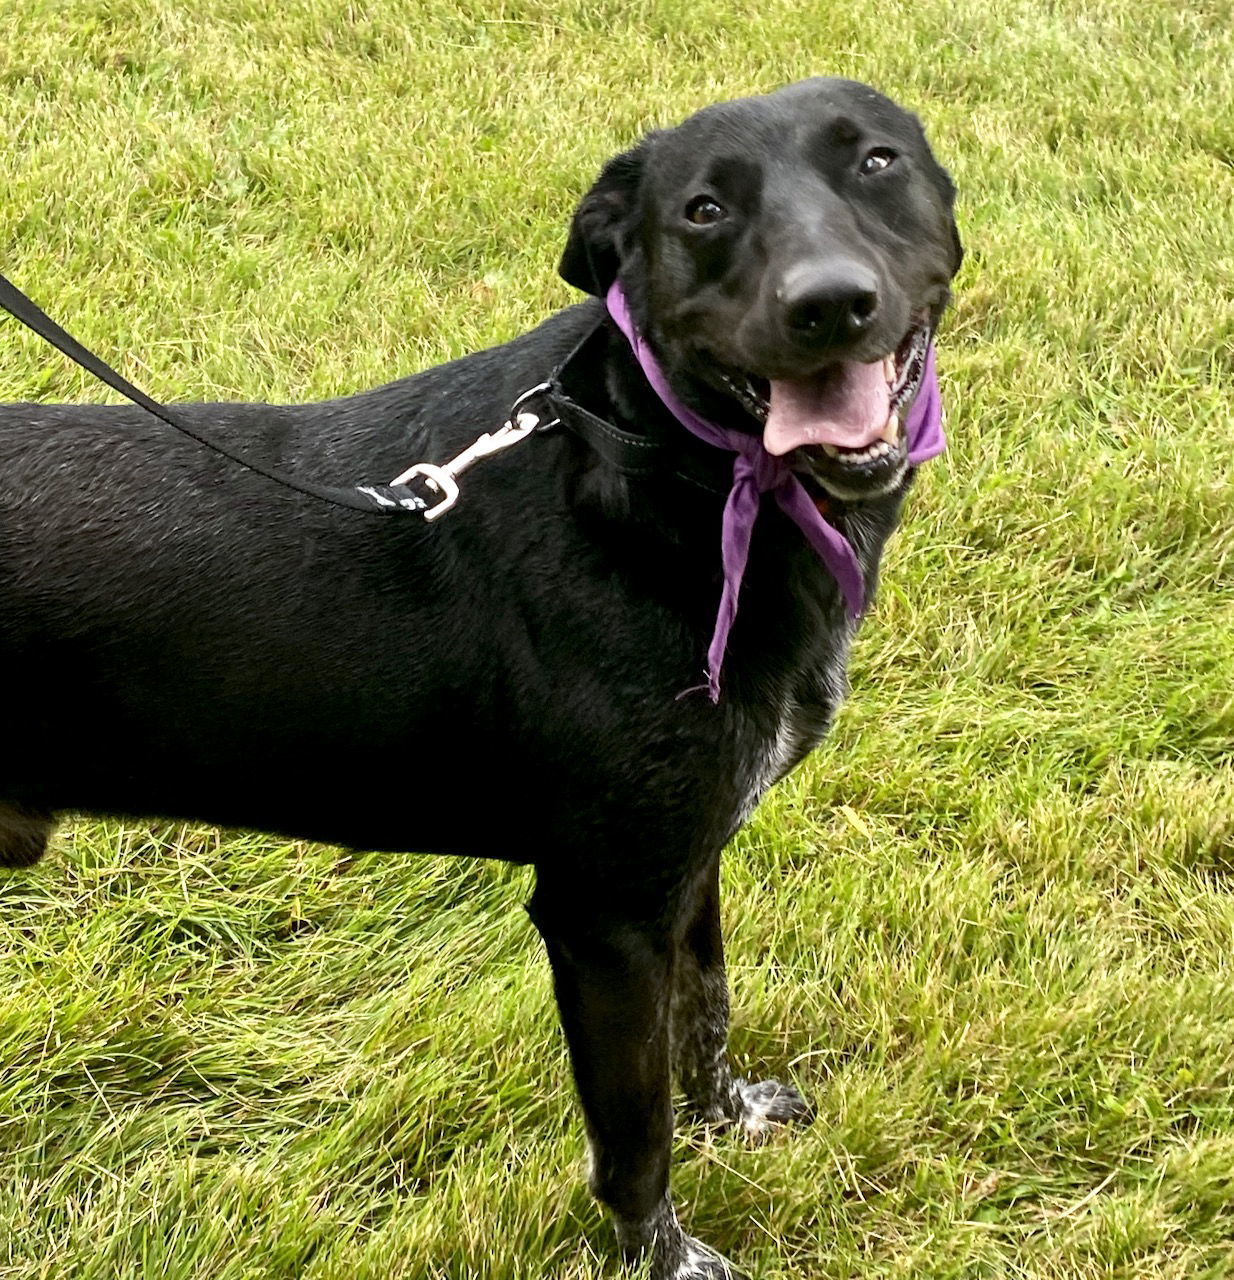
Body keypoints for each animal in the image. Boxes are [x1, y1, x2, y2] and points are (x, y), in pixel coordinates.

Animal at [0, 80, 957, 1280]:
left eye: (876, 161)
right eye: (701, 210)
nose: (829, 305)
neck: (654, 464)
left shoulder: (685, 859)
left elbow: (707, 1010)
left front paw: (730, 1115)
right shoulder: (601, 912)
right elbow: (635, 1136)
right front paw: (667, 1258)